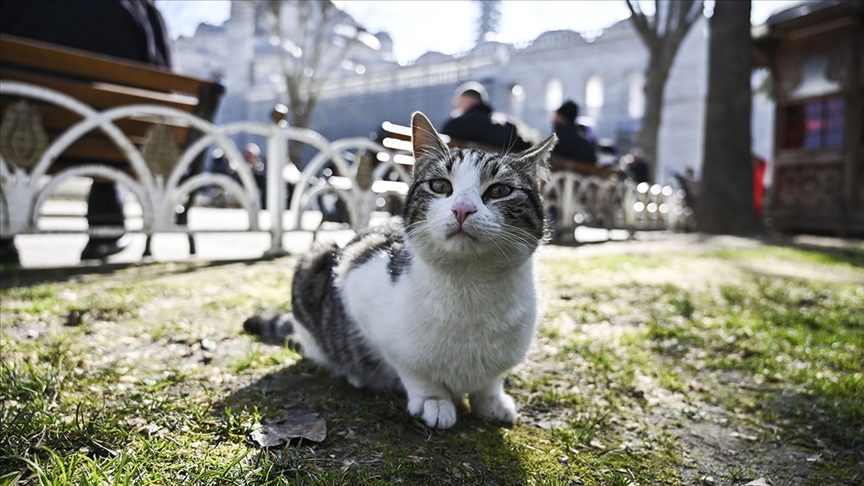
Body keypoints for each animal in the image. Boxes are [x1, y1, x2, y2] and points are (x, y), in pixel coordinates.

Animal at [245, 111, 552, 430]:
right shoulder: (356, 273)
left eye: (501, 190)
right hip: (315, 260)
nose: (463, 209)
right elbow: (412, 368)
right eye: (440, 186)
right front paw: (433, 399)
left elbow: (490, 379)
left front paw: (491, 399)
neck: (471, 284)